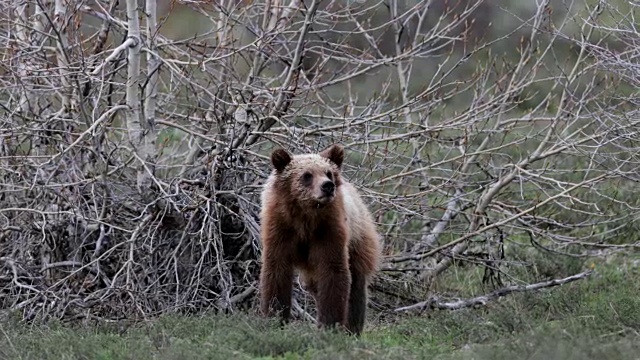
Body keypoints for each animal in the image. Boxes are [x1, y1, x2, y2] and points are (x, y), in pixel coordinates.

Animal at [258, 143, 380, 334]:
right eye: (307, 175)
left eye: (328, 172)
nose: (328, 186)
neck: (305, 216)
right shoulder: (280, 228)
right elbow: (276, 271)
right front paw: (274, 316)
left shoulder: (328, 230)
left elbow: (333, 272)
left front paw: (330, 324)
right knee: (315, 286)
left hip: (359, 239)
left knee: (357, 287)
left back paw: (352, 328)